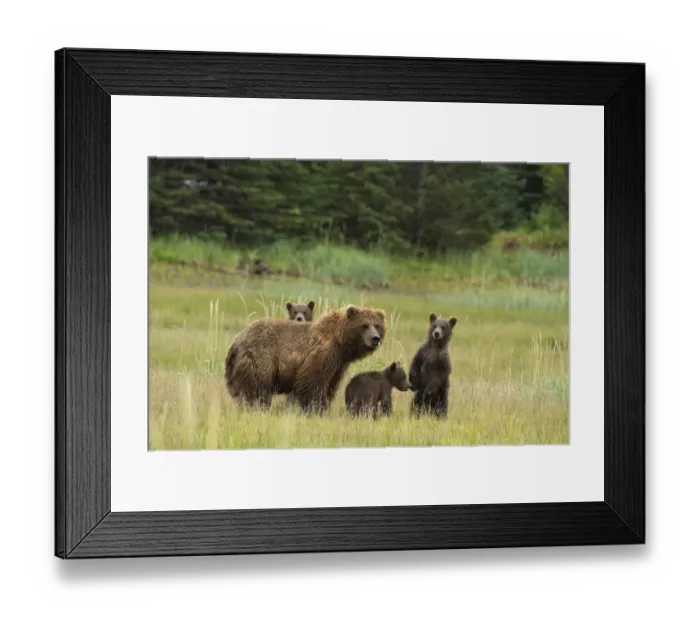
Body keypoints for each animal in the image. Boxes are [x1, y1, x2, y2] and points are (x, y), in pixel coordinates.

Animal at [224, 305, 386, 413]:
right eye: (364, 325)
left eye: (377, 325)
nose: (375, 338)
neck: (340, 343)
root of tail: (236, 341)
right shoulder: (321, 355)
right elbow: (312, 382)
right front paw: (314, 408)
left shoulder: (338, 364)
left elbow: (330, 385)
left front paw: (324, 405)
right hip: (260, 357)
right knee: (257, 387)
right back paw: (258, 407)